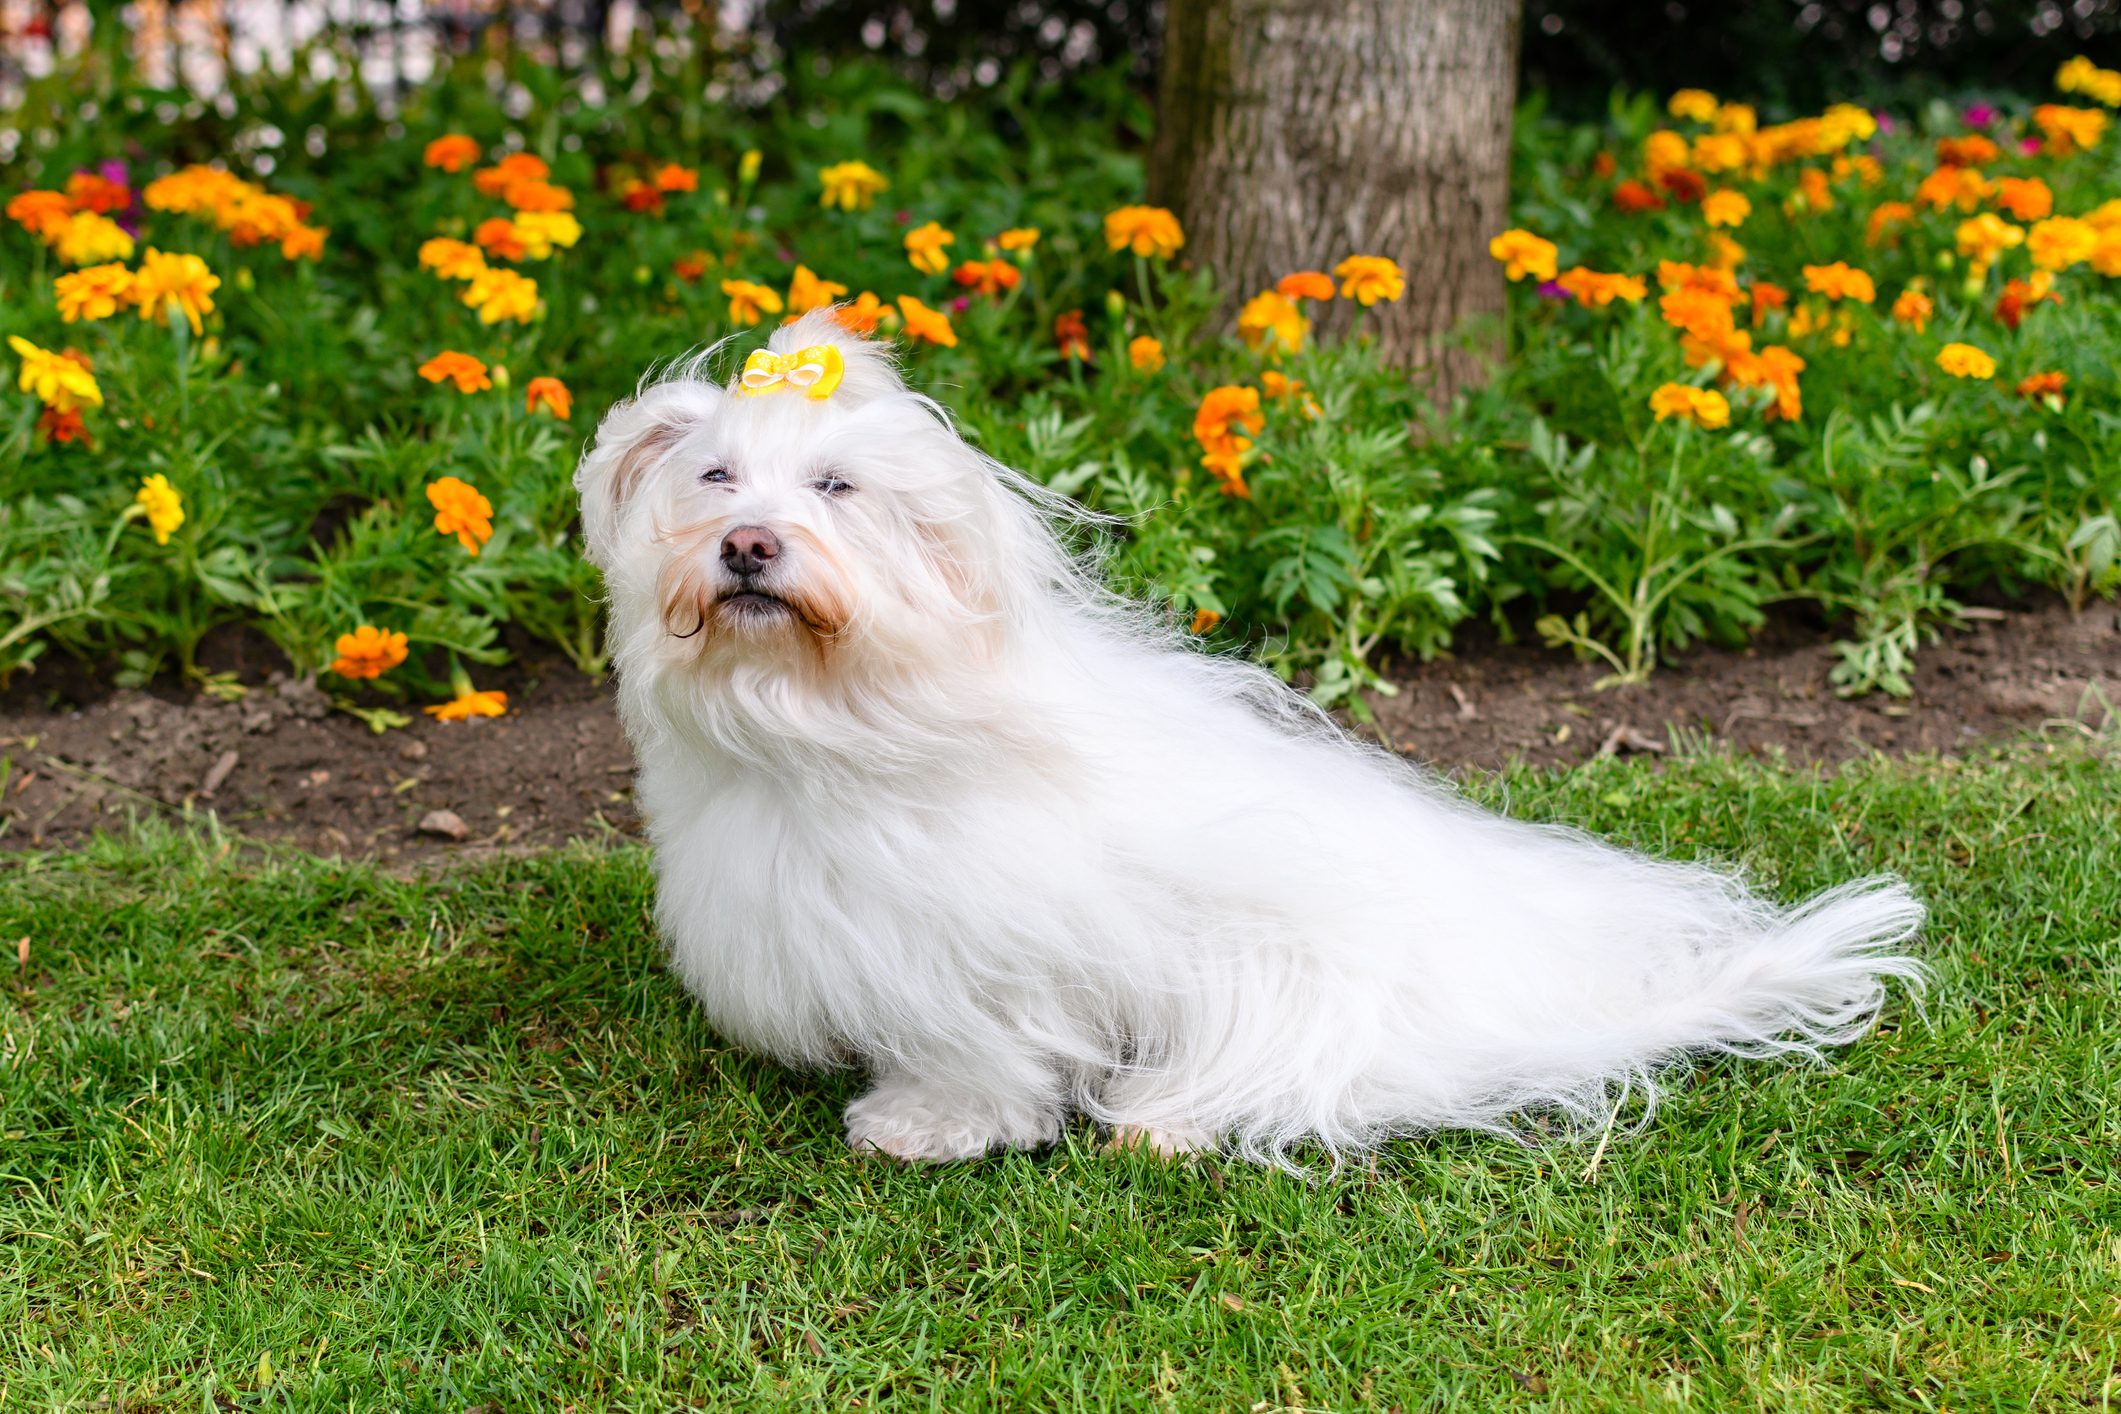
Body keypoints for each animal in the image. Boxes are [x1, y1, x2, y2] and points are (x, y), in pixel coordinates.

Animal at [572, 315, 1934, 1170]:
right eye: (716, 476)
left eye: (838, 487)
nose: (749, 544)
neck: (829, 715)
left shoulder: (986, 954)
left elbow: (979, 1056)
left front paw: (928, 1124)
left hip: (1297, 982)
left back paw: (1168, 1121)